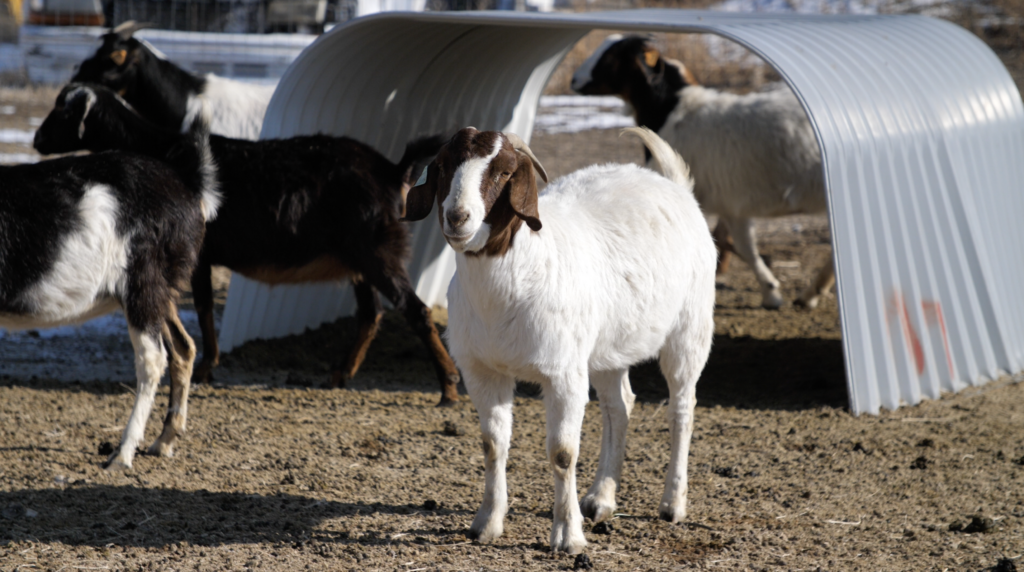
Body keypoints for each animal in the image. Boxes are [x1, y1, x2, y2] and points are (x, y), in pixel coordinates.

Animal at [2, 102, 216, 470]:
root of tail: (191, 188)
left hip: (142, 284)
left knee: (153, 359)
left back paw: (123, 453)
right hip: (161, 290)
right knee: (184, 348)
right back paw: (163, 441)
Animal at [34, 83, 462, 405]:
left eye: (64, 110)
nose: (37, 139)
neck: (161, 148)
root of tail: (391, 170)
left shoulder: (199, 254)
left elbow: (204, 306)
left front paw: (206, 367)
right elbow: (203, 306)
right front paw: (207, 365)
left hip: (376, 250)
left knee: (415, 310)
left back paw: (448, 389)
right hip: (359, 256)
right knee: (370, 314)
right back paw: (341, 375)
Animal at [403, 126, 716, 554]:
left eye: (504, 172)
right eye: (443, 166)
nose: (457, 217)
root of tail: (674, 185)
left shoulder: (563, 373)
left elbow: (563, 454)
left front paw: (568, 536)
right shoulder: (483, 371)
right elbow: (492, 444)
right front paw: (487, 523)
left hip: (690, 327)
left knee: (682, 408)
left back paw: (672, 504)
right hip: (606, 348)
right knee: (620, 406)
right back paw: (601, 499)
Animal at [572, 35, 835, 309]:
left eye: (612, 56)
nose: (574, 81)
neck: (670, 111)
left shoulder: (730, 202)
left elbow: (742, 246)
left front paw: (771, 293)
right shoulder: (733, 203)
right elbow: (738, 244)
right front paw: (768, 291)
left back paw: (811, 293)